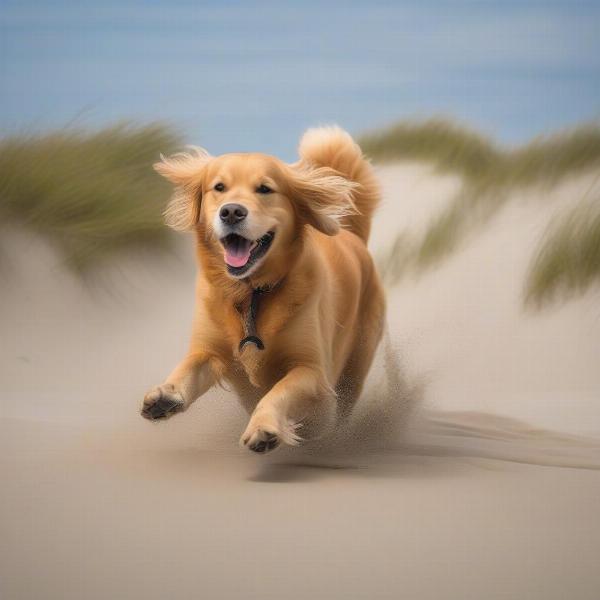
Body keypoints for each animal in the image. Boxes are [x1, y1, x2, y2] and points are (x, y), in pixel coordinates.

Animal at [142, 127, 384, 454]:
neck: (250, 294)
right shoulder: (210, 350)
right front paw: (165, 395)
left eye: (265, 189)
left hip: (357, 363)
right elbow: (189, 366)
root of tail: (351, 234)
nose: (231, 212)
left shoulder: (311, 369)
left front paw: (264, 428)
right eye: (219, 187)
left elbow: (279, 391)